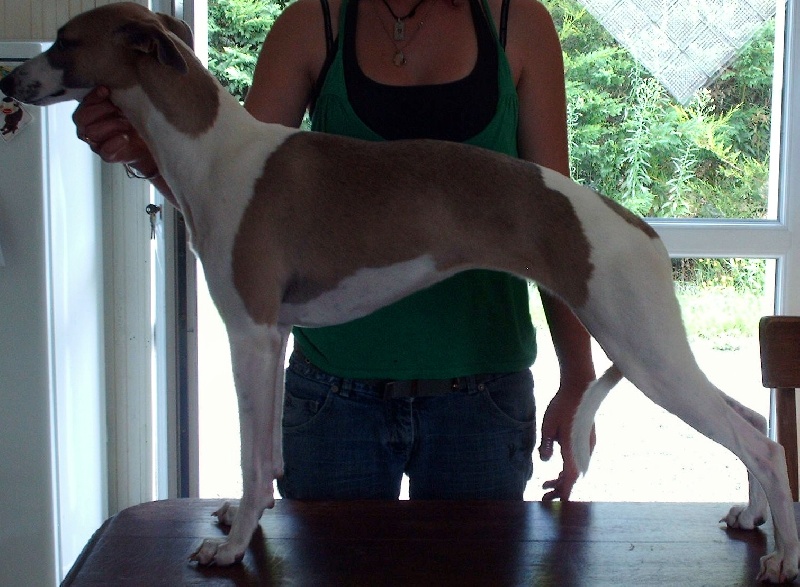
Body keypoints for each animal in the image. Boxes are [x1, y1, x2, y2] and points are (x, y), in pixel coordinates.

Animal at [1, 3, 796, 581]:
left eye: (66, 40)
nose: (8, 85)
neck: (211, 149)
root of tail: (635, 226)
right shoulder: (273, 334)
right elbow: (269, 455)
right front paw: (239, 518)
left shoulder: (249, 331)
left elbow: (254, 457)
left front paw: (231, 548)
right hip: (653, 347)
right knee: (749, 418)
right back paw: (751, 518)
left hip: (641, 344)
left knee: (759, 441)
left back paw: (783, 555)